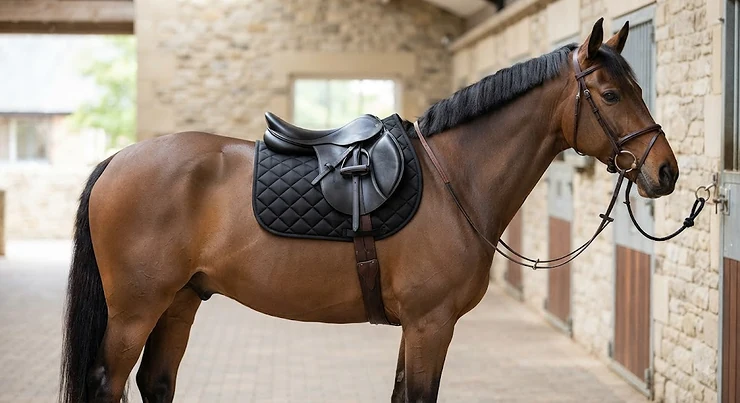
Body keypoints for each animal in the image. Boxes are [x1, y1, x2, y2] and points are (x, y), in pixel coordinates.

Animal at [60, 19, 679, 403]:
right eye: (610, 95)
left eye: (636, 87)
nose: (665, 171)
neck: (454, 179)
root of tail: (118, 159)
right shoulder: (431, 323)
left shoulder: (418, 326)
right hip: (135, 310)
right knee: (108, 383)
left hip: (180, 302)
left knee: (156, 383)